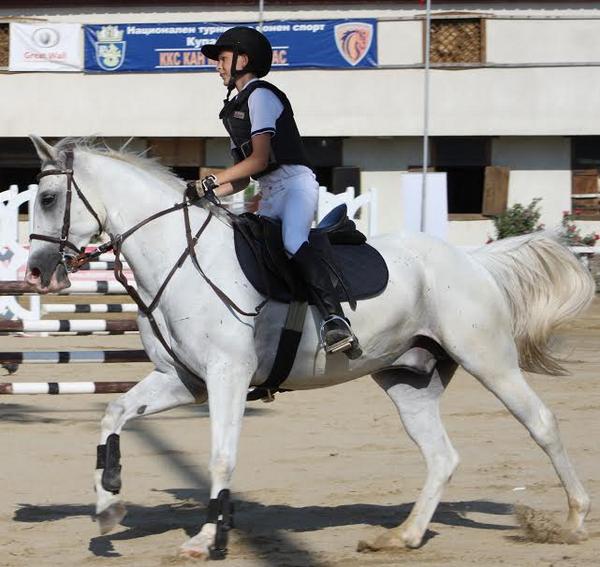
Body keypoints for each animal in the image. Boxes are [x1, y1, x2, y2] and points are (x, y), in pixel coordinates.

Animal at [25, 136, 592, 560]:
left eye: (48, 199)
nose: (35, 272)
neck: (179, 257)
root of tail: (472, 259)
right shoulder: (183, 380)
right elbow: (114, 414)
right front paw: (108, 505)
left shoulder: (228, 376)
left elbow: (221, 457)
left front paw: (206, 540)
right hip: (408, 379)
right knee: (441, 456)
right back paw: (401, 536)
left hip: (488, 358)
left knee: (541, 423)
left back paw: (573, 519)